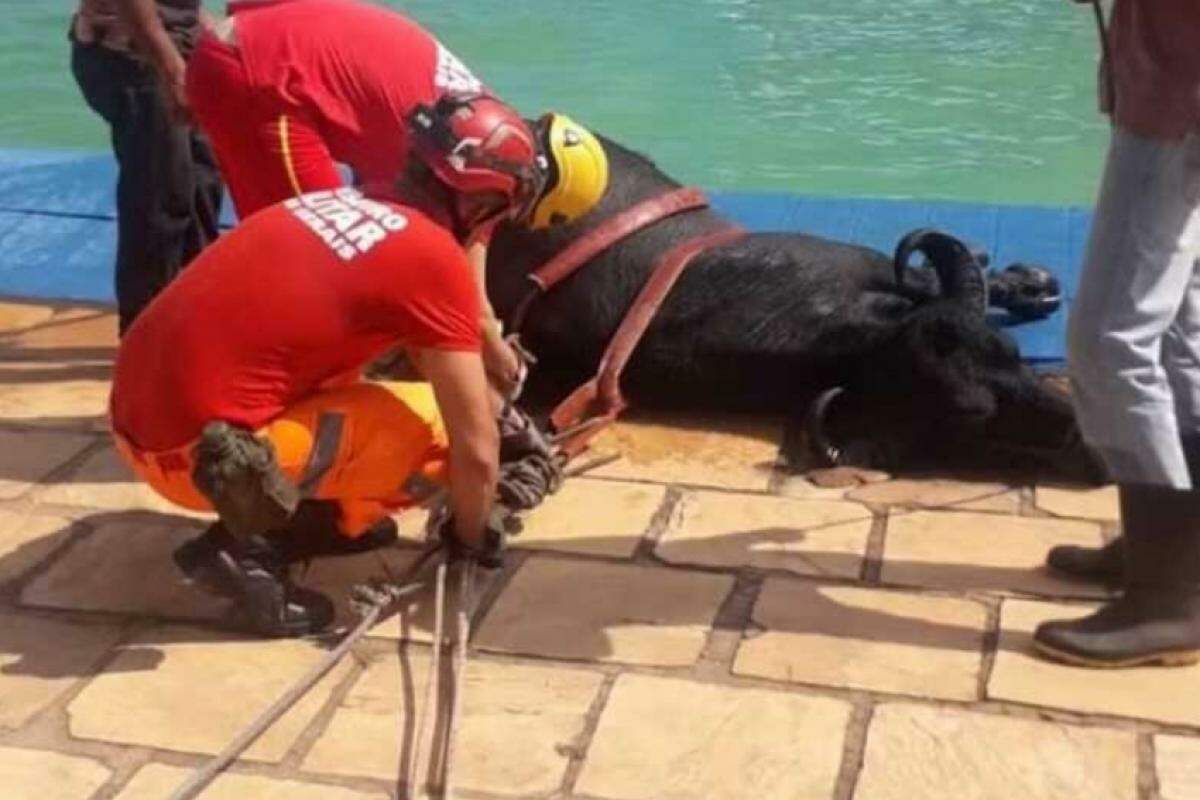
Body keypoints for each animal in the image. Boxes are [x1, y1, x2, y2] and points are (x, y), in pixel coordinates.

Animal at [482, 135, 1099, 482]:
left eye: (1012, 354)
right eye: (972, 415)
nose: (1088, 442)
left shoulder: (874, 265)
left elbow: (930, 278)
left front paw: (1021, 281)